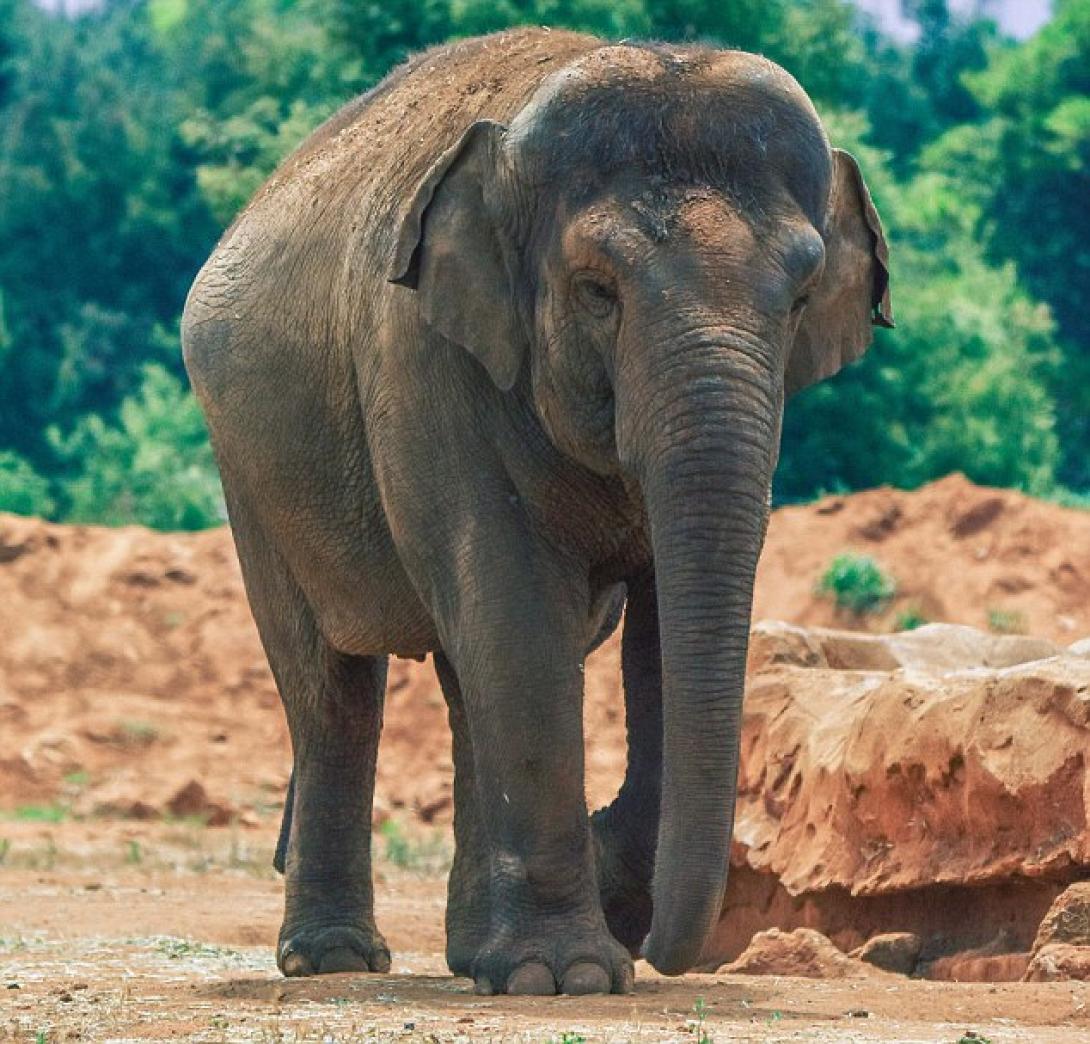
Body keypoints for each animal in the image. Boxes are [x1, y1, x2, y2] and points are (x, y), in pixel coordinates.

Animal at [183, 26, 889, 998]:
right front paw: (571, 975)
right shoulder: (427, 361)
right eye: (597, 290)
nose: (659, 941)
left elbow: (652, 629)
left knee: (460, 679)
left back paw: (472, 957)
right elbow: (517, 612)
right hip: (251, 476)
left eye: (799, 300)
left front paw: (592, 914)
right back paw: (335, 960)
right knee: (334, 688)